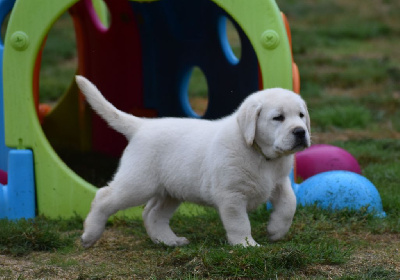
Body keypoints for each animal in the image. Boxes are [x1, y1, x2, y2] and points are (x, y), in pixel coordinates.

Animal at [76, 76, 312, 247]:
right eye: (278, 117)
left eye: (301, 115)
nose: (300, 132)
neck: (262, 156)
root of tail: (142, 125)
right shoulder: (231, 196)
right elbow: (240, 223)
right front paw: (246, 245)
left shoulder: (279, 182)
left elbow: (289, 204)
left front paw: (276, 230)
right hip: (138, 184)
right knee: (104, 197)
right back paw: (90, 234)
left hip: (170, 191)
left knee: (152, 213)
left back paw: (169, 241)